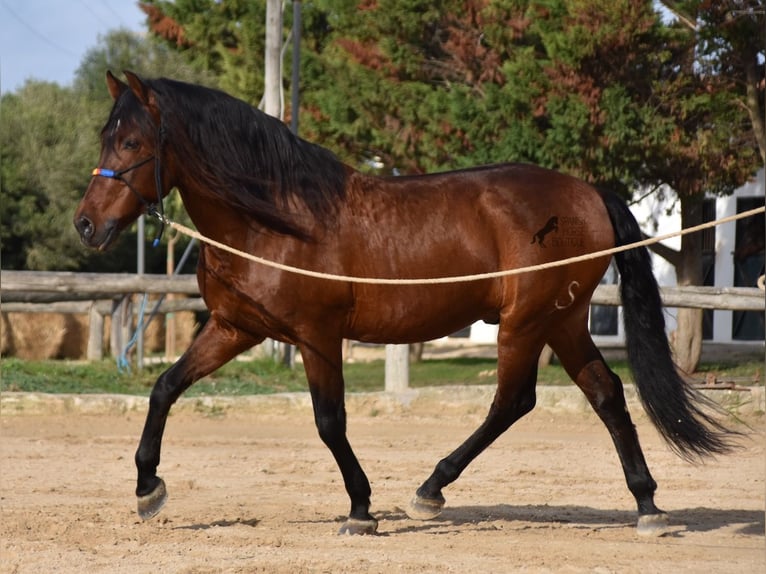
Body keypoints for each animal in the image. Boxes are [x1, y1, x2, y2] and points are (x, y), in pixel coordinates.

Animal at [73, 72, 736, 540]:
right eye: (105, 137)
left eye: (131, 140)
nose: (86, 225)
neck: (276, 219)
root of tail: (588, 191)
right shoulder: (235, 328)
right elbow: (164, 387)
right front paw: (147, 487)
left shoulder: (317, 337)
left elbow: (329, 422)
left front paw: (361, 508)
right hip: (564, 321)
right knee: (605, 393)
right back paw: (647, 504)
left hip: (526, 322)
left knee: (514, 401)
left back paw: (431, 490)